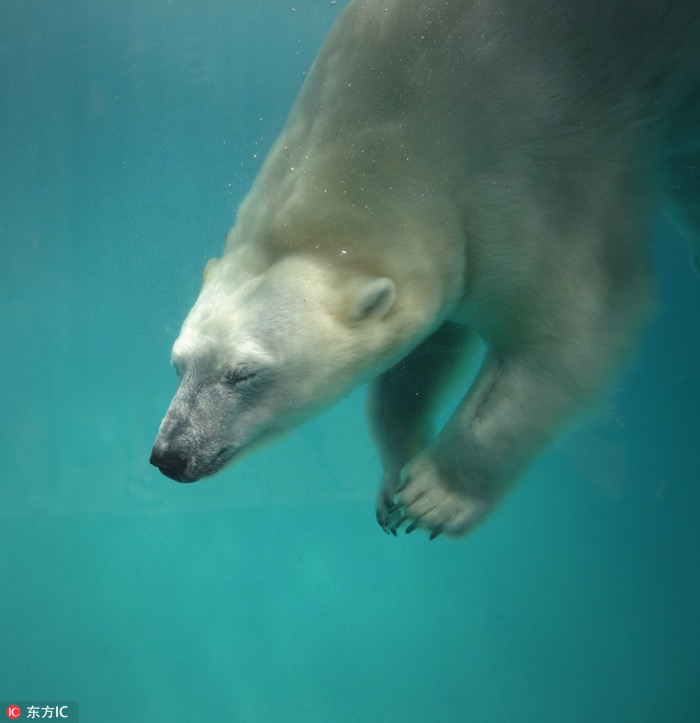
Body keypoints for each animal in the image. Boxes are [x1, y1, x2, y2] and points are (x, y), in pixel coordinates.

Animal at [150, 0, 700, 536]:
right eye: (179, 363)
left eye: (243, 373)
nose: (169, 455)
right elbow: (422, 353)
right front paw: (395, 480)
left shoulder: (540, 190)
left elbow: (573, 332)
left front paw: (434, 497)